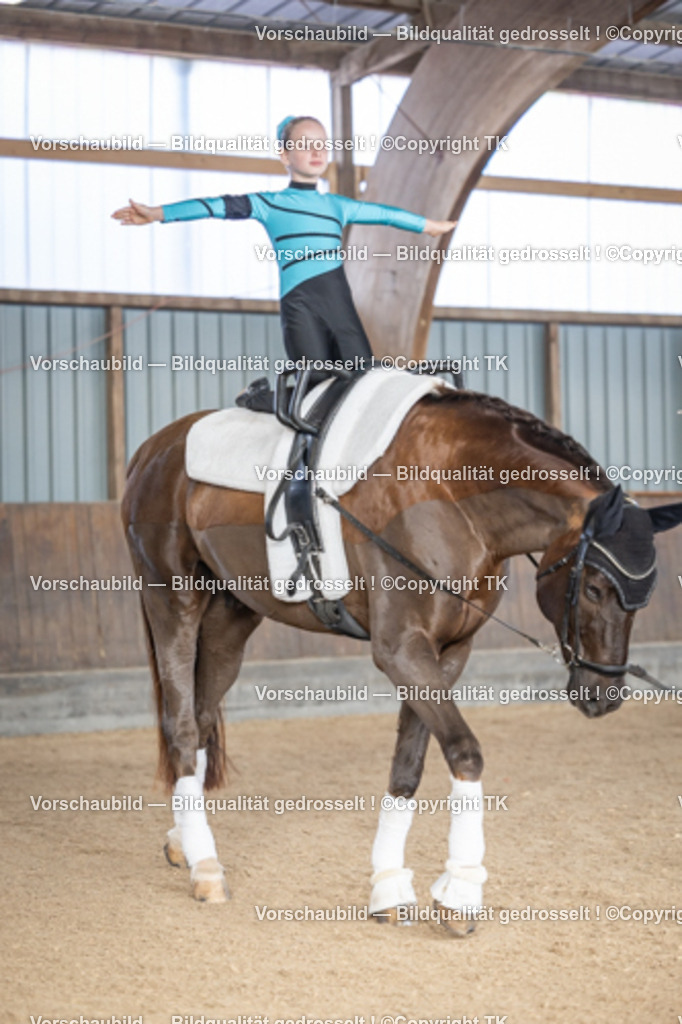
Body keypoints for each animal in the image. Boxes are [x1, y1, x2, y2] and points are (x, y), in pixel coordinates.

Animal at [121, 387, 682, 930]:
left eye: (647, 598)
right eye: (593, 588)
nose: (604, 696)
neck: (453, 498)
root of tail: (151, 450)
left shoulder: (447, 651)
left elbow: (408, 765)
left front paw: (389, 884)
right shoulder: (402, 650)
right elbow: (464, 751)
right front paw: (461, 894)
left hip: (231, 618)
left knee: (200, 715)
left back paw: (182, 841)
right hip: (172, 598)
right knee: (180, 724)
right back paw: (207, 869)